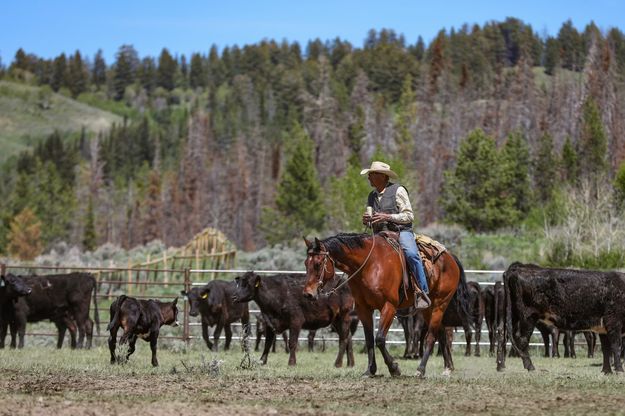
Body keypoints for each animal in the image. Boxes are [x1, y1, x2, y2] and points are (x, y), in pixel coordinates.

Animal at [302, 232, 464, 378]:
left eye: (317, 264)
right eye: (305, 263)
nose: (308, 294)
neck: (369, 264)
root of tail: (450, 258)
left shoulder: (389, 307)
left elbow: (379, 338)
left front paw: (394, 368)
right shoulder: (363, 309)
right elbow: (369, 339)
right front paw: (370, 370)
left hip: (440, 303)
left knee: (431, 336)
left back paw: (420, 370)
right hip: (427, 308)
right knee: (441, 333)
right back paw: (448, 367)